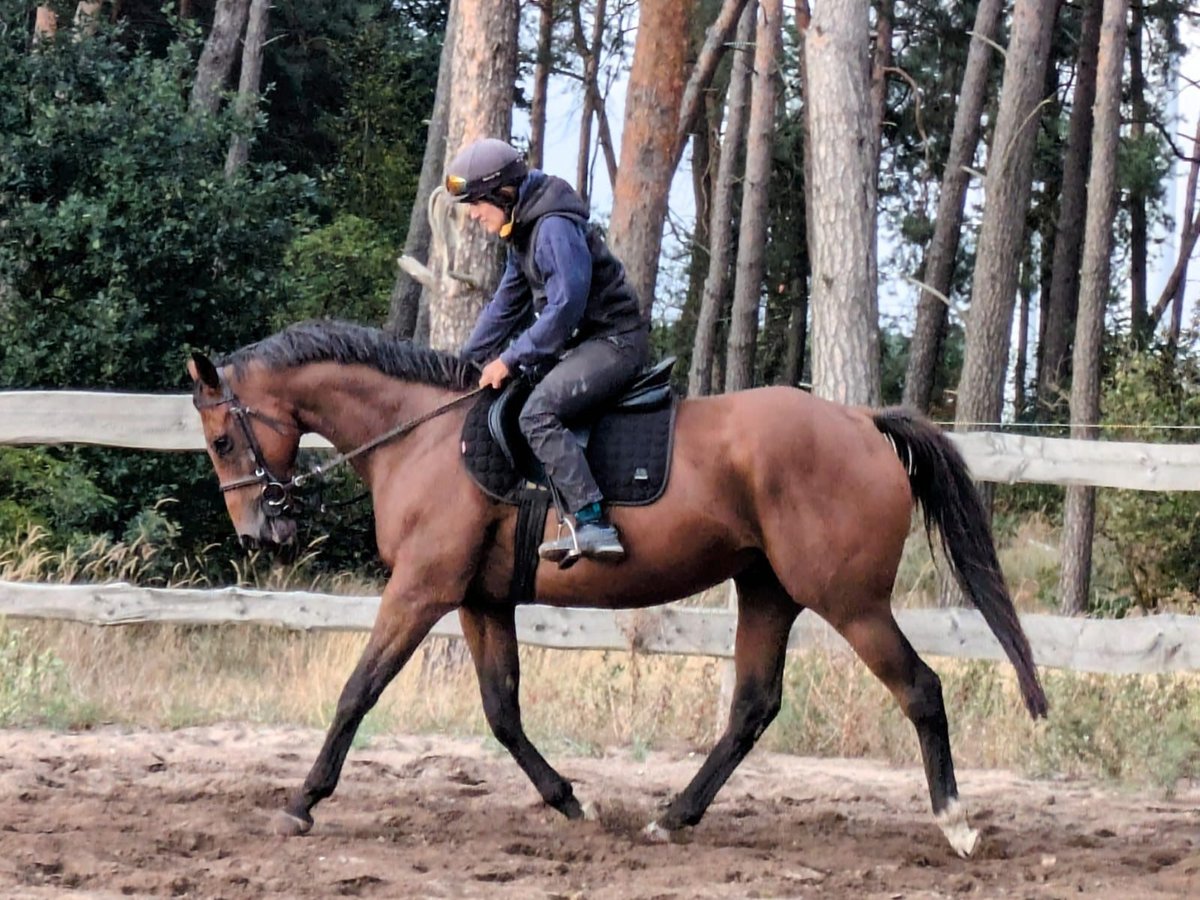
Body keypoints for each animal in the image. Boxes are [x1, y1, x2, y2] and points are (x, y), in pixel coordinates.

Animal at [189, 319, 1051, 859]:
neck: (426, 435)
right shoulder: (479, 601)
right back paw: (673, 817)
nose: (261, 533)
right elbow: (502, 712)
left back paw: (957, 825)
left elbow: (356, 692)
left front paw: (302, 802)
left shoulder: (423, 590)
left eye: (222, 438)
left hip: (850, 601)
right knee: (752, 707)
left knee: (921, 690)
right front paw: (570, 801)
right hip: (767, 590)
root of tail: (863, 422)